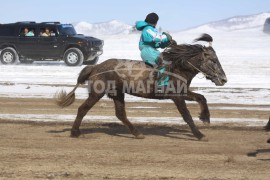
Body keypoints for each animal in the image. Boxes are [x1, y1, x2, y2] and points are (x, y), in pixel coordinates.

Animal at [55, 33, 228, 141]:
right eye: (213, 60)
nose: (223, 79)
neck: (177, 67)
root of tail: (95, 67)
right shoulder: (177, 96)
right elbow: (187, 116)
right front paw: (199, 135)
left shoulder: (183, 92)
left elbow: (201, 97)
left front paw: (205, 118)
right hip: (97, 94)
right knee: (82, 109)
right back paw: (75, 132)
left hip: (118, 94)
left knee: (120, 114)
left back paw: (137, 133)